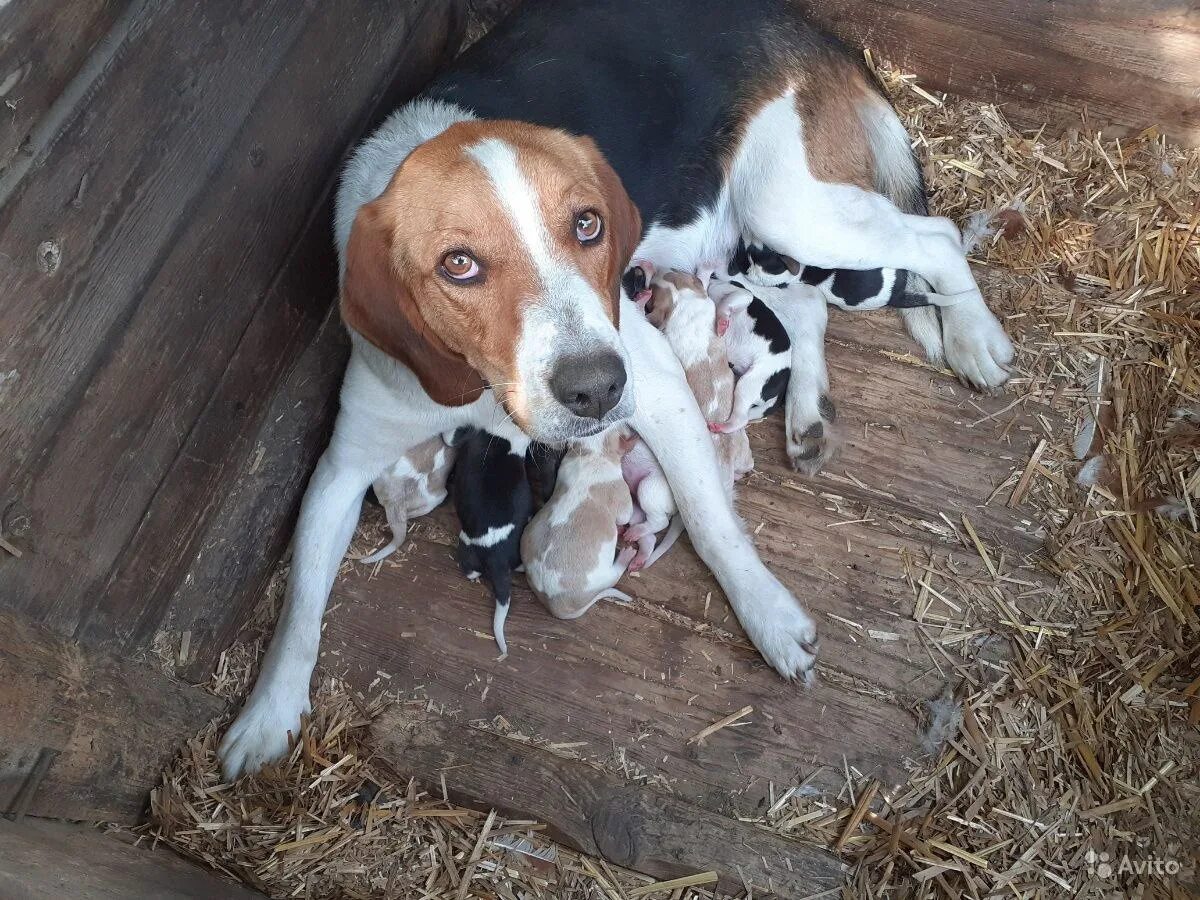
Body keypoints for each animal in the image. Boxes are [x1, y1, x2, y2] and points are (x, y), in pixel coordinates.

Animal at [523, 427, 643, 619]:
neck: (593, 453)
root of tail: (555, 604)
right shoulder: (621, 497)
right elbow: (626, 515)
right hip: (602, 577)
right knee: (614, 575)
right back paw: (626, 555)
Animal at [705, 282, 792, 436]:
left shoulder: (742, 295)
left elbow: (724, 304)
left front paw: (721, 324)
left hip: (748, 383)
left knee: (740, 419)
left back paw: (721, 427)